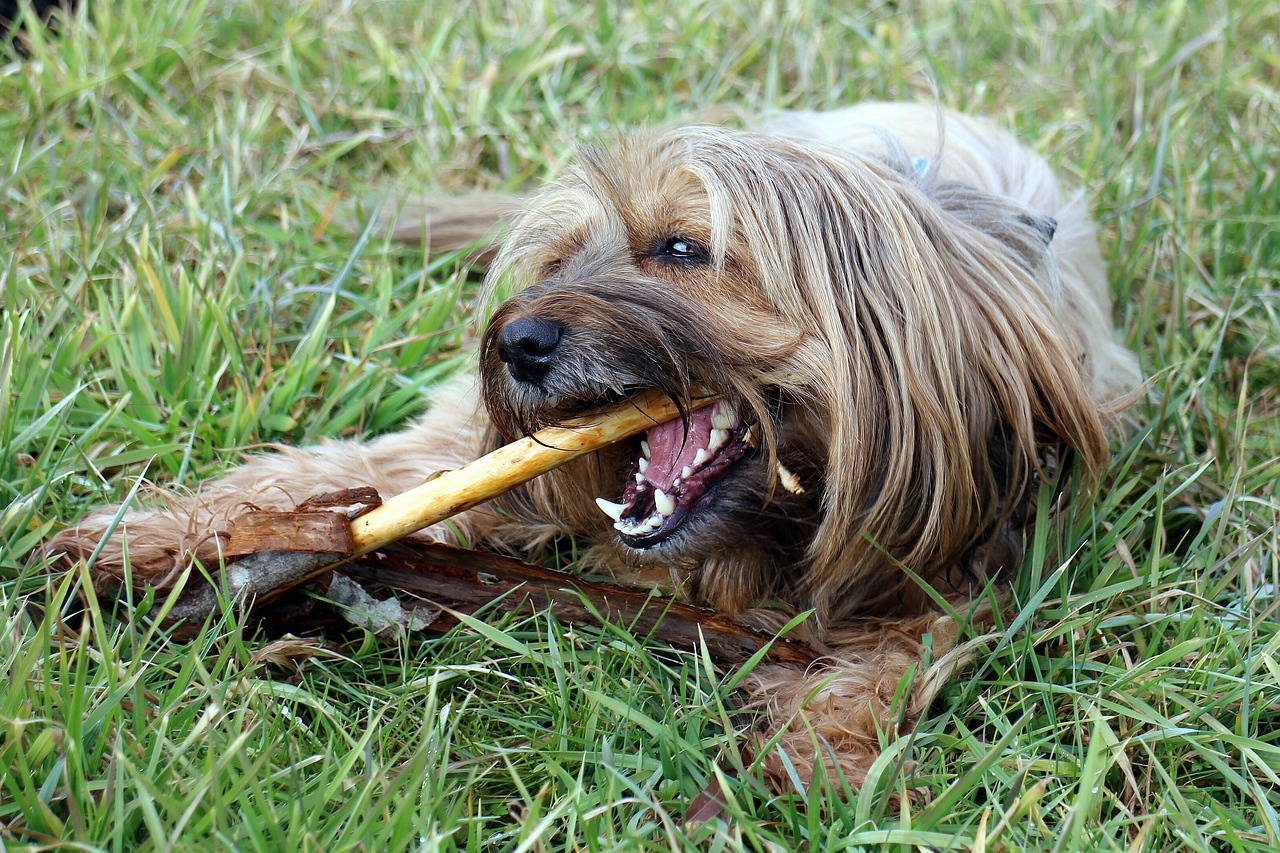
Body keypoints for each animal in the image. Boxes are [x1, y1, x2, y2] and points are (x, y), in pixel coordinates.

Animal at [47, 101, 1141, 788]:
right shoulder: (470, 446)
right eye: (560, 261)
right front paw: (163, 538)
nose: (518, 344)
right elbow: (359, 470)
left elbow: (885, 660)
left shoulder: (967, 557)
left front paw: (811, 759)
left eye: (683, 247)